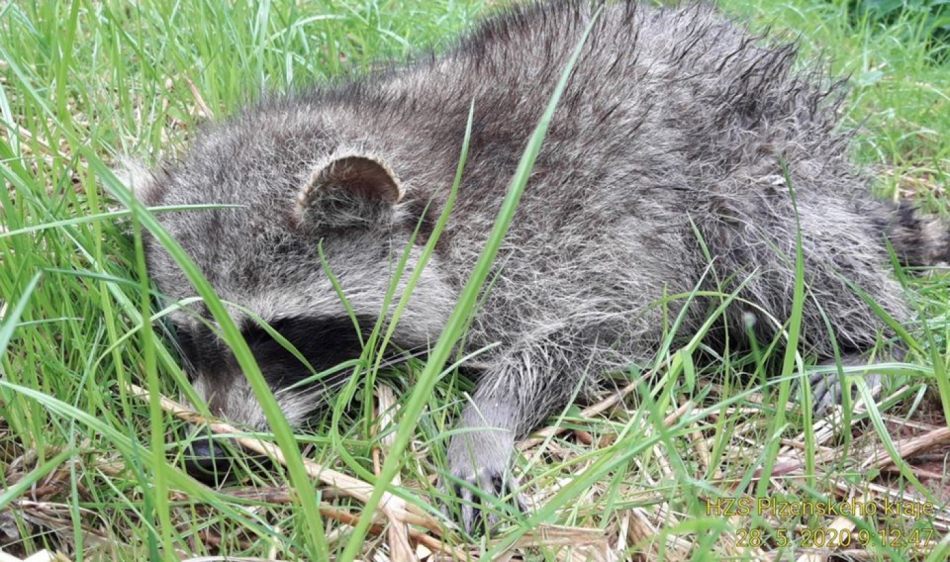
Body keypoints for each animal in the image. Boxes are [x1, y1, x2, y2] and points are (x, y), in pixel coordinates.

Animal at [134, 0, 950, 532]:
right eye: (191, 340)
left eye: (274, 335)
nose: (204, 452)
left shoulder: (570, 237)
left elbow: (599, 332)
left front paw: (484, 417)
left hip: (759, 155)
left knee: (770, 233)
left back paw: (879, 344)